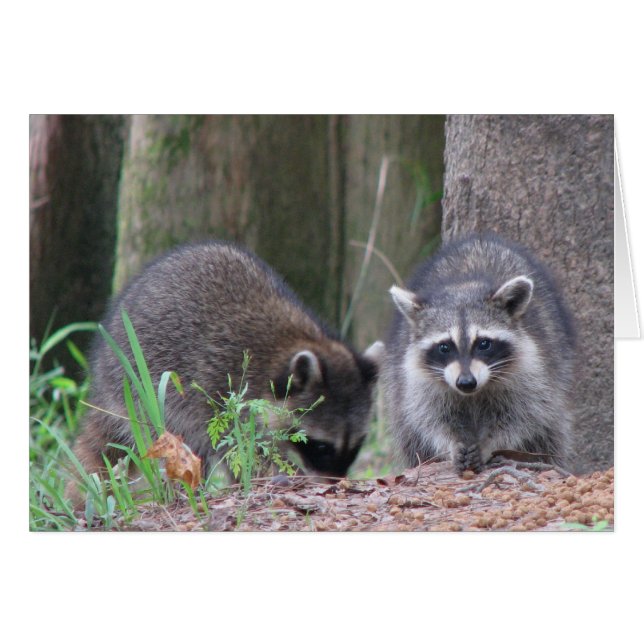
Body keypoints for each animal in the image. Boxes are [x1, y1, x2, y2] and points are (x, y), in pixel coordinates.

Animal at [70, 241, 383, 497]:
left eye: (356, 445)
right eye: (321, 447)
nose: (335, 483)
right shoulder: (219, 385)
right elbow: (237, 448)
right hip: (141, 384)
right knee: (180, 440)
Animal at [383, 233, 575, 475]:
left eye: (484, 344)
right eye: (445, 347)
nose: (466, 382)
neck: (464, 288)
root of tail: (479, 239)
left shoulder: (532, 370)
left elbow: (524, 415)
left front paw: (489, 444)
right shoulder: (419, 380)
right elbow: (429, 417)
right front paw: (452, 443)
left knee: (550, 430)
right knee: (409, 434)